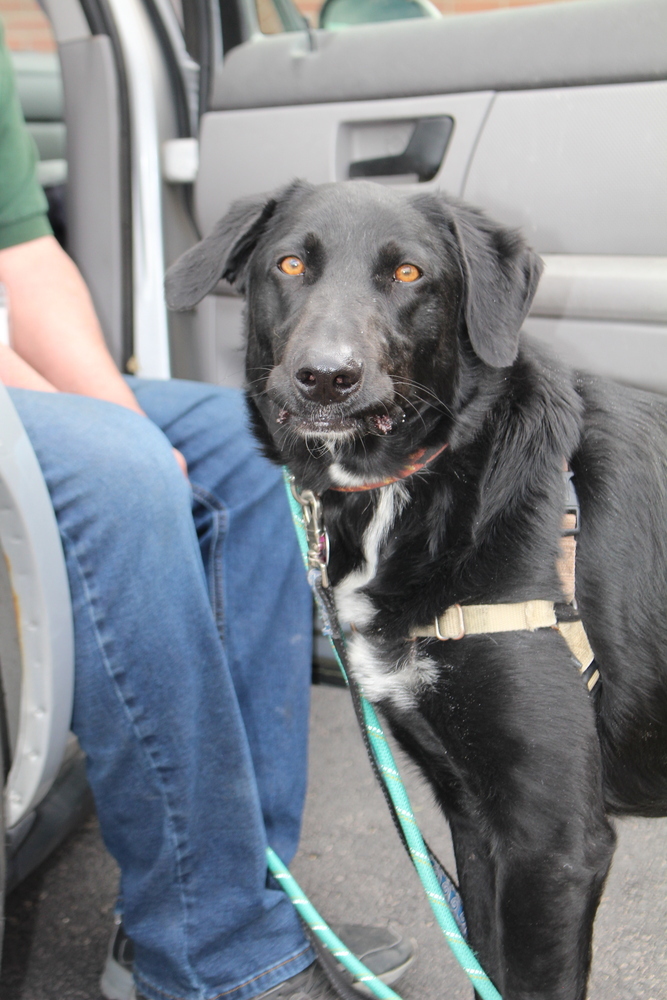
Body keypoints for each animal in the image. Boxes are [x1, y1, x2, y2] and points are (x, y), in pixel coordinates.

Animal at [167, 182, 667, 1000]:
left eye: (408, 274)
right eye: (290, 263)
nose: (326, 376)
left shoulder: (553, 841)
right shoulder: (474, 818)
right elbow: (485, 966)